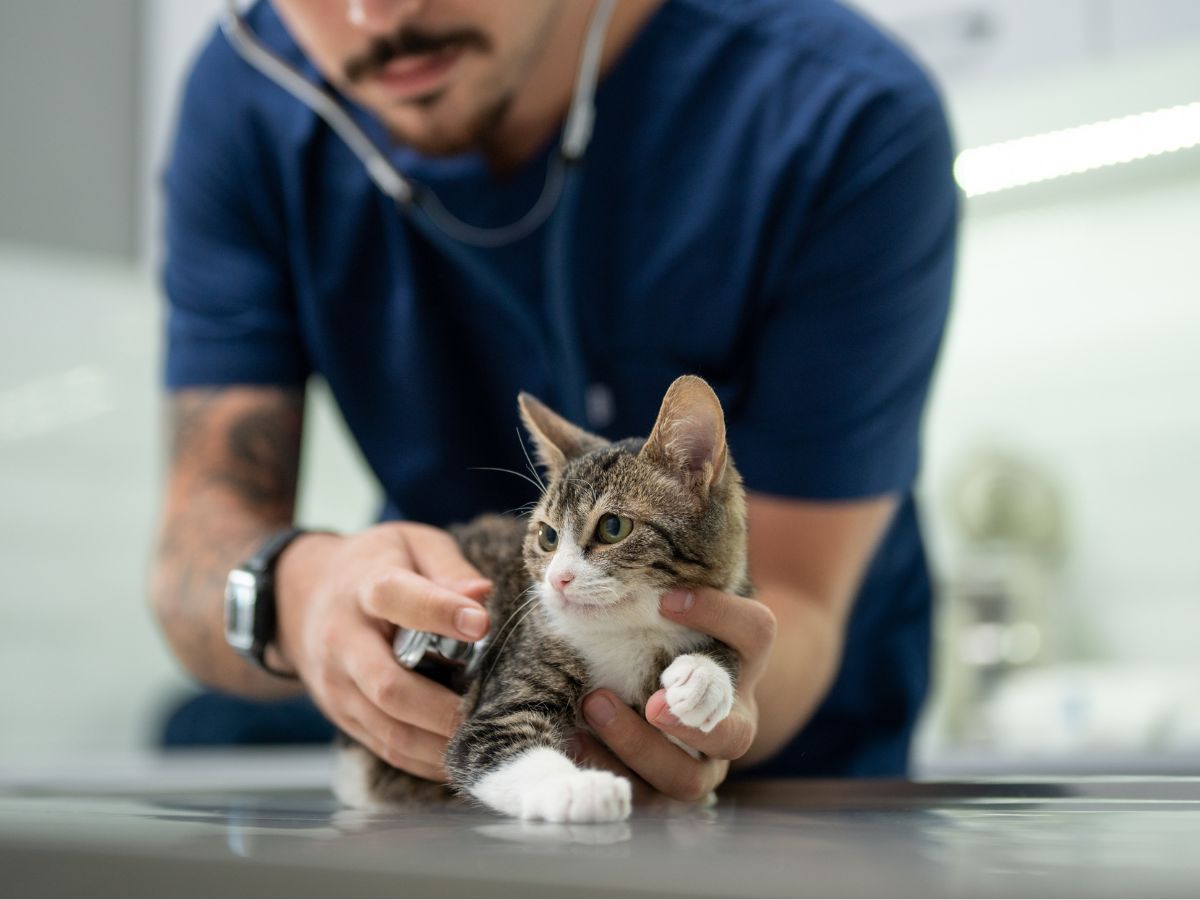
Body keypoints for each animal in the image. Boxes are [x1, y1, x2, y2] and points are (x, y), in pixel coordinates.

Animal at [333, 374, 748, 825]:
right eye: (547, 536)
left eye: (613, 527)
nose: (557, 579)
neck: (628, 632)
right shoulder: (510, 671)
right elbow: (491, 742)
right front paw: (579, 788)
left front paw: (703, 677)